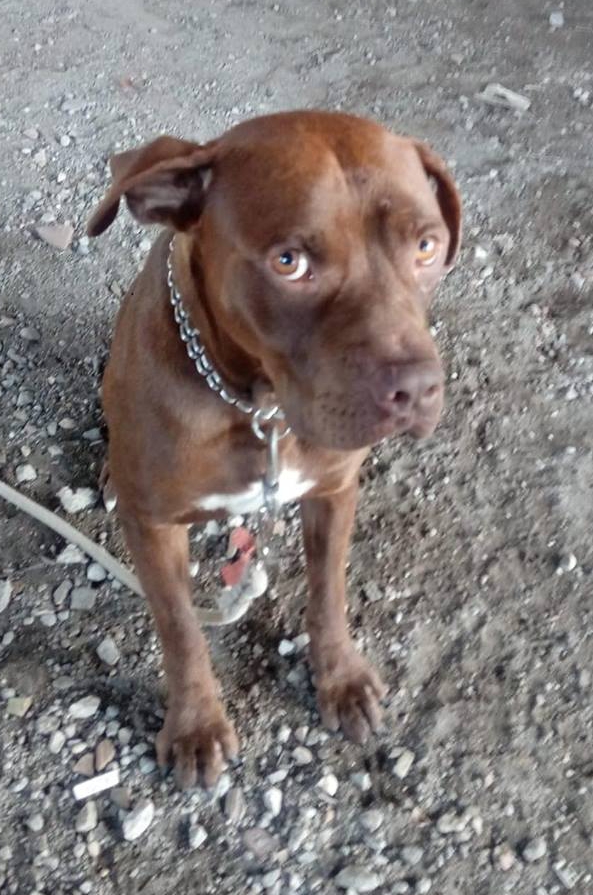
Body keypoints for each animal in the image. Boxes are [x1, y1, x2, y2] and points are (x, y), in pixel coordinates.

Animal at [88, 110, 461, 788]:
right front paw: (196, 724)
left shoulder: (334, 491)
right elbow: (181, 628)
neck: (258, 408)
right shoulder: (153, 527)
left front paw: (339, 678)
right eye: (289, 262)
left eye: (426, 246)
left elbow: (329, 593)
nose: (418, 389)